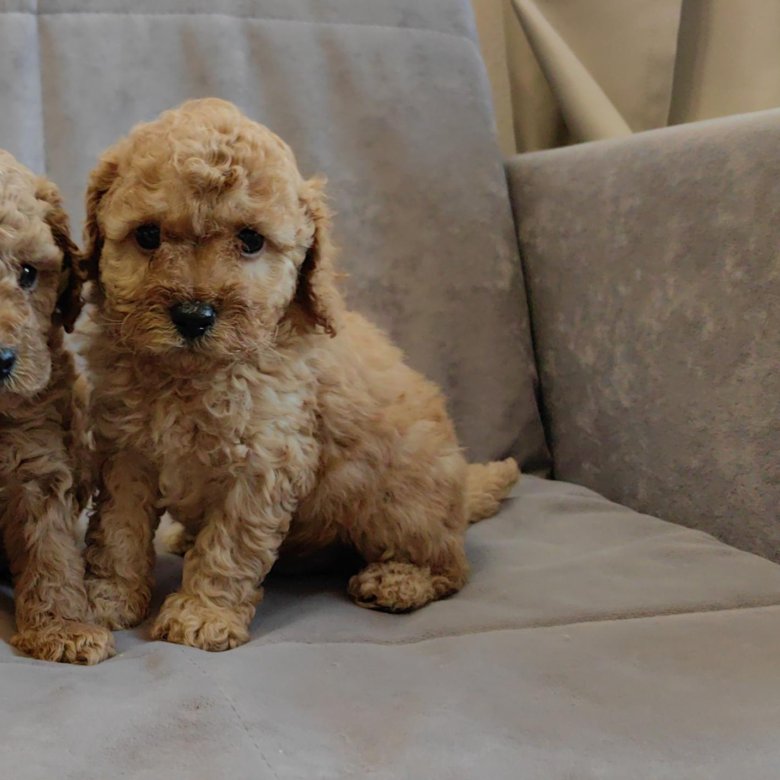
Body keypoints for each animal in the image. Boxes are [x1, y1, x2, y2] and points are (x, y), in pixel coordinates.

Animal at [79, 98, 519, 651]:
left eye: (250, 240)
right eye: (148, 236)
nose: (194, 315)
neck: (191, 375)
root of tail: (462, 498)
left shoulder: (264, 460)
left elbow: (229, 546)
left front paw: (202, 613)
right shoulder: (126, 452)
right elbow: (119, 530)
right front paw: (109, 597)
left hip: (400, 500)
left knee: (450, 564)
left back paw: (400, 580)